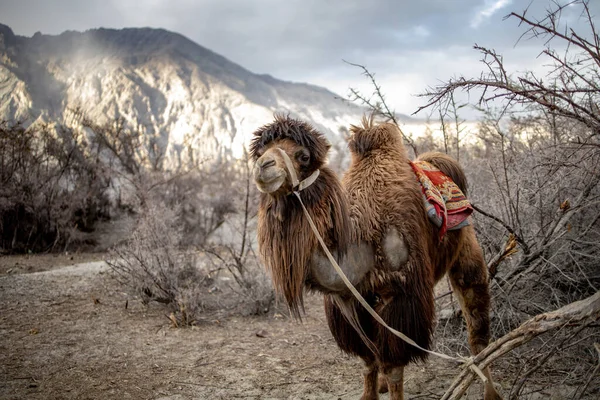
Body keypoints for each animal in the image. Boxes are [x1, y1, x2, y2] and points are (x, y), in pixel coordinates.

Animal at [248, 115, 502, 400]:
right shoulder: (353, 302)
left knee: (477, 328)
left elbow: (394, 367)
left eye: (303, 156)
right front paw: (370, 393)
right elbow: (368, 359)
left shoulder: (402, 297)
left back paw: (490, 391)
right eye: (259, 152)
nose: (264, 166)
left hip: (467, 246)